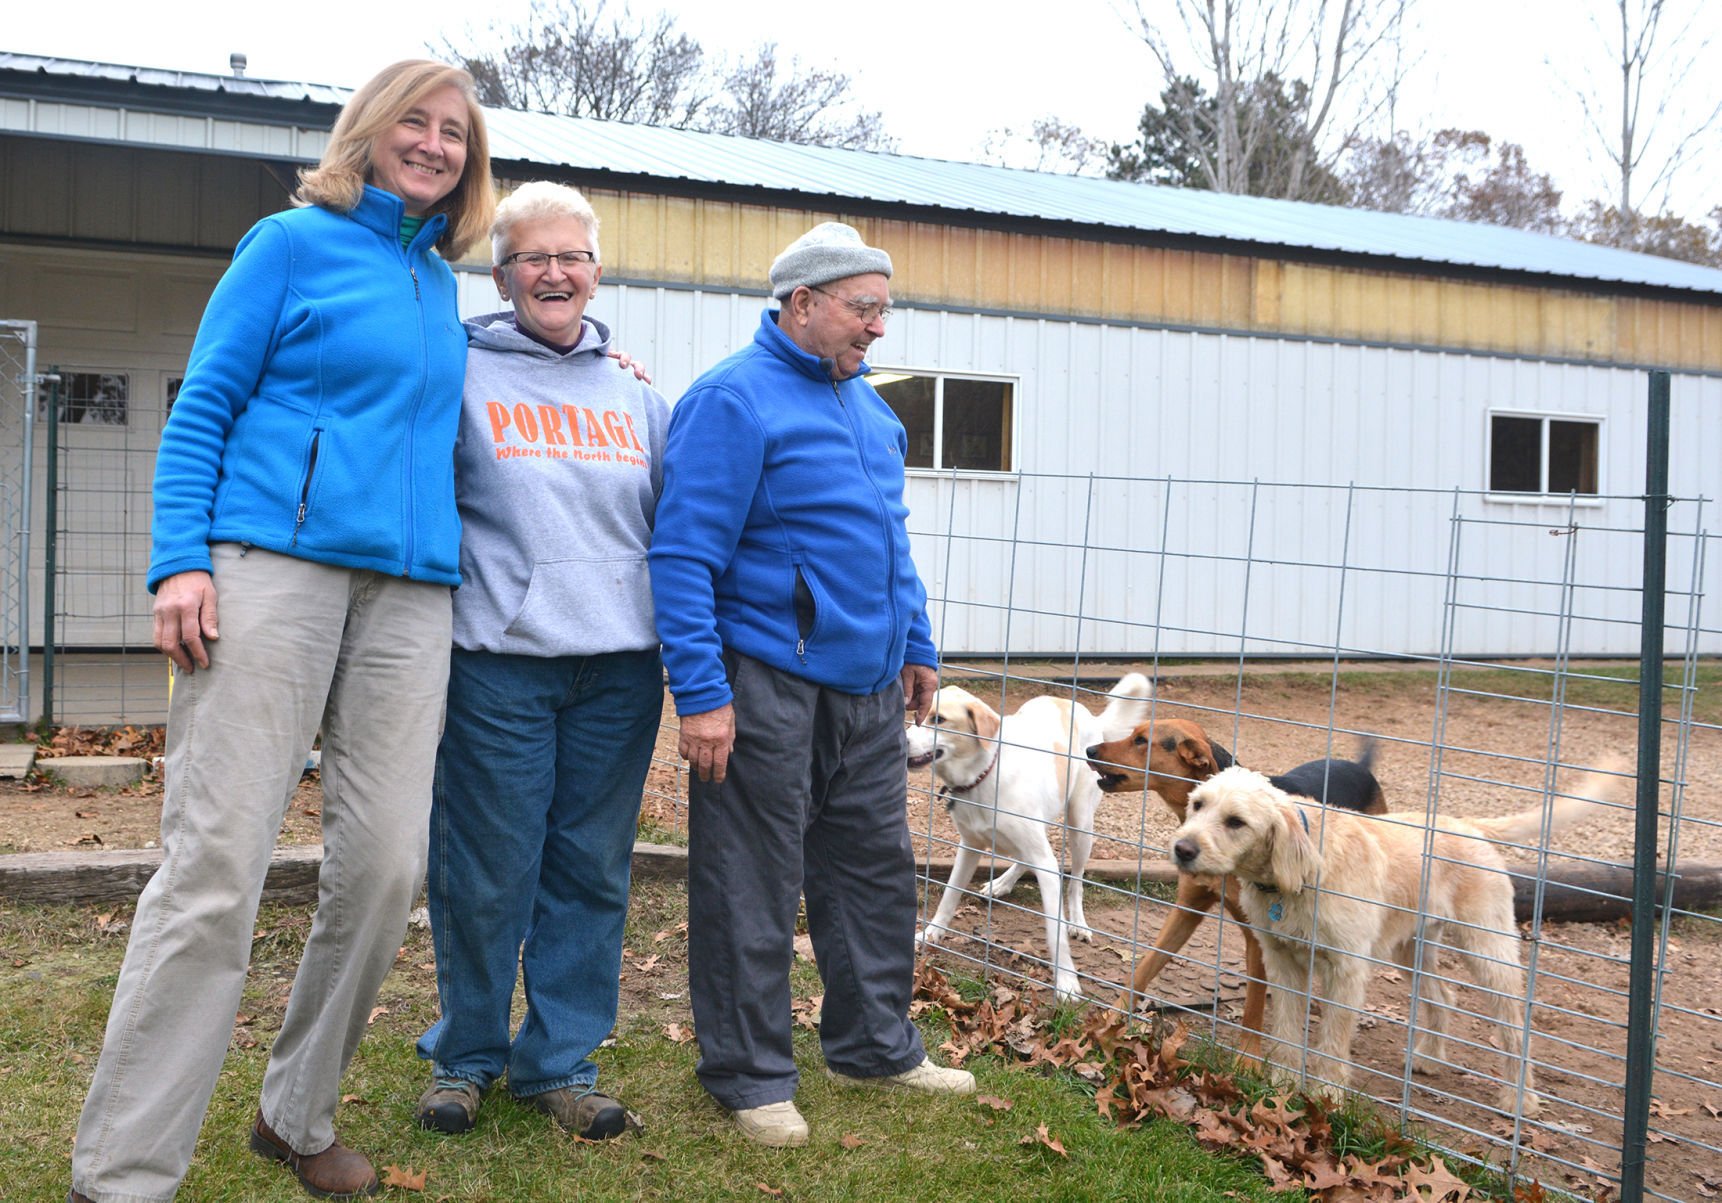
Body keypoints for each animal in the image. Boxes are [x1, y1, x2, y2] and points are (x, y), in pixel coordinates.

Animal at [902, 674, 1157, 1005]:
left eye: (939, 719)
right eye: (917, 716)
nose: (902, 741)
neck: (984, 774)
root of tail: (1088, 716)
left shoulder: (1046, 865)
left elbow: (1055, 932)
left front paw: (1066, 983)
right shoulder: (969, 846)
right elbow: (949, 896)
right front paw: (930, 935)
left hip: (1080, 824)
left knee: (1076, 880)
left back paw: (1078, 922)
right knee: (1028, 858)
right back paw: (1001, 884)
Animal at [1074, 715, 1384, 1053]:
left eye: (1142, 741)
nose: (1089, 750)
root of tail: (1360, 767)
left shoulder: (1257, 934)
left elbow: (1253, 1006)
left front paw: (1248, 1056)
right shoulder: (1187, 909)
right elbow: (1144, 968)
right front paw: (1111, 1018)